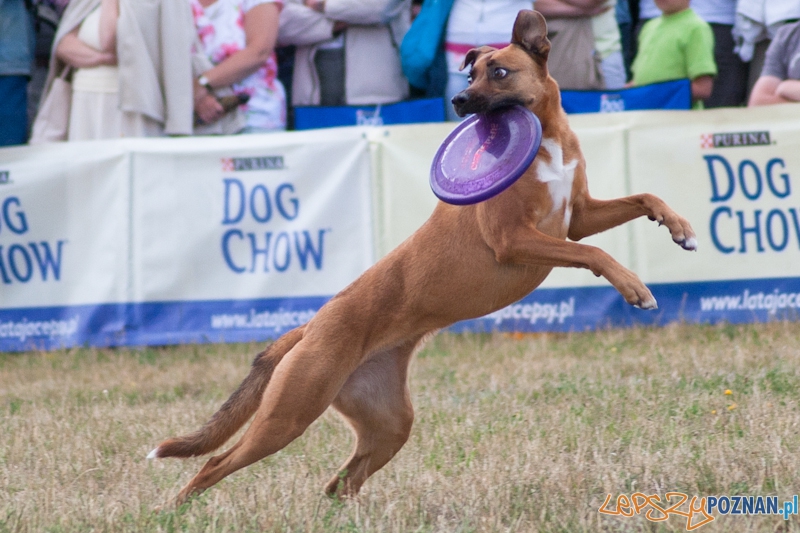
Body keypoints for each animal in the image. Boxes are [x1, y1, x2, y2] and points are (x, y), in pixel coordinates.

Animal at [148, 10, 692, 504]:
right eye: (470, 74)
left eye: (499, 72)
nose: (457, 100)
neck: (547, 142)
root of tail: (310, 327)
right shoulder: (514, 238)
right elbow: (594, 252)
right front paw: (635, 287)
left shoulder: (576, 216)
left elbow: (642, 199)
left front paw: (680, 228)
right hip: (289, 412)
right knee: (216, 465)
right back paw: (177, 509)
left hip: (389, 422)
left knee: (340, 483)